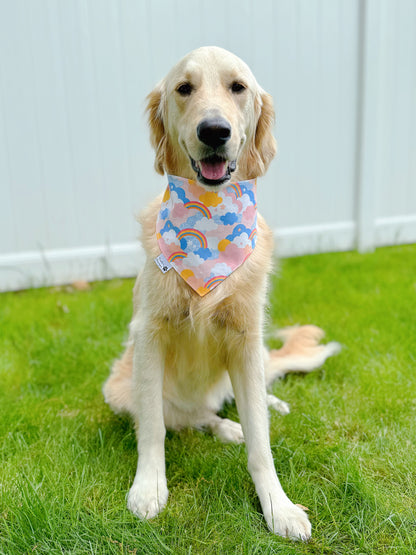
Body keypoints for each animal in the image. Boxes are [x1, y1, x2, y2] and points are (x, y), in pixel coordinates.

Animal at [103, 45, 338, 540]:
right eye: (183, 88)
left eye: (238, 87)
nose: (214, 131)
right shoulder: (149, 336)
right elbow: (152, 427)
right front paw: (149, 487)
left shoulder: (246, 340)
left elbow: (262, 444)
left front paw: (279, 507)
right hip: (118, 387)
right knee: (192, 417)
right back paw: (226, 427)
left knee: (250, 398)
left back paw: (265, 406)